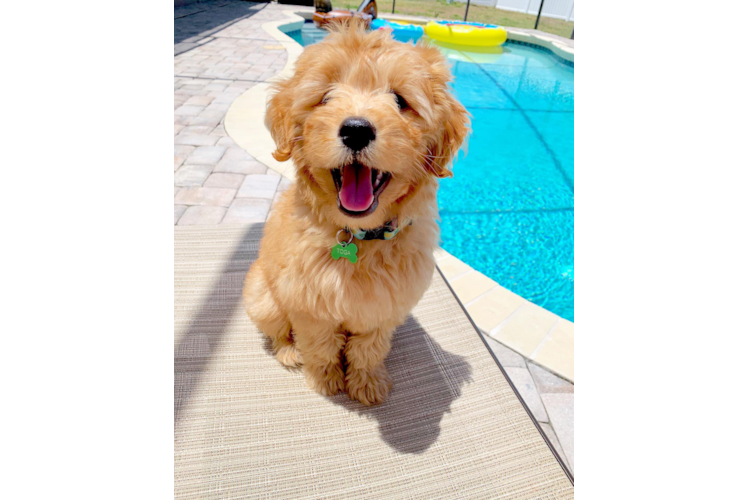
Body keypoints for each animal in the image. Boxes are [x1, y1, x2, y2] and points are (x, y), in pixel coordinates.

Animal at [244, 23, 468, 406]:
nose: (356, 129)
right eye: (326, 97)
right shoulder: (309, 304)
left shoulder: (384, 307)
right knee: (277, 330)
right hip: (263, 297)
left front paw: (366, 382)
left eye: (400, 101)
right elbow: (320, 345)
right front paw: (325, 379)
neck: (357, 236)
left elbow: (368, 348)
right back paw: (288, 351)